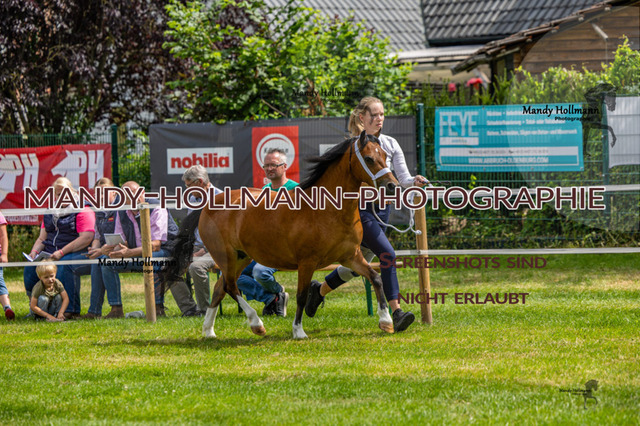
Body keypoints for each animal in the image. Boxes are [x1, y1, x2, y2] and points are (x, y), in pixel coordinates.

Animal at [165, 131, 399, 339]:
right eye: (369, 158)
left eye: (385, 155)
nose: (391, 186)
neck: (327, 209)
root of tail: (208, 206)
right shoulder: (307, 262)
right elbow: (301, 295)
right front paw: (298, 331)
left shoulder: (351, 256)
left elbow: (376, 278)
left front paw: (386, 321)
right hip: (226, 256)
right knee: (231, 286)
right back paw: (256, 324)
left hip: (241, 257)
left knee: (219, 288)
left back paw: (209, 332)